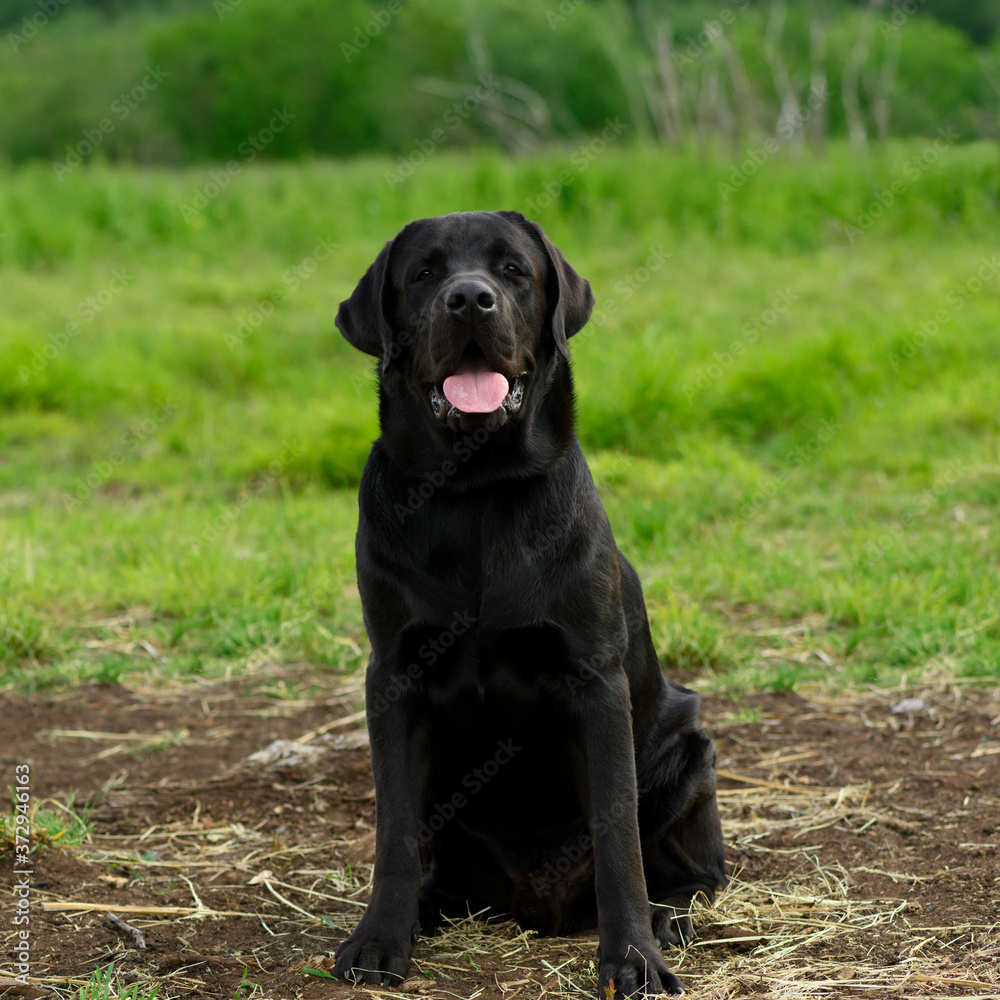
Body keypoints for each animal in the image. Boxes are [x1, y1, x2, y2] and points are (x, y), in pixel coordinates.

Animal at [332, 211, 724, 992]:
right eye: (423, 274)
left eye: (513, 270)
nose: (468, 299)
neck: (476, 491)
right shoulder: (394, 676)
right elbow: (393, 832)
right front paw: (379, 939)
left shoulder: (594, 680)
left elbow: (618, 841)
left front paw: (633, 957)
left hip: (687, 753)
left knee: (696, 876)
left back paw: (668, 919)